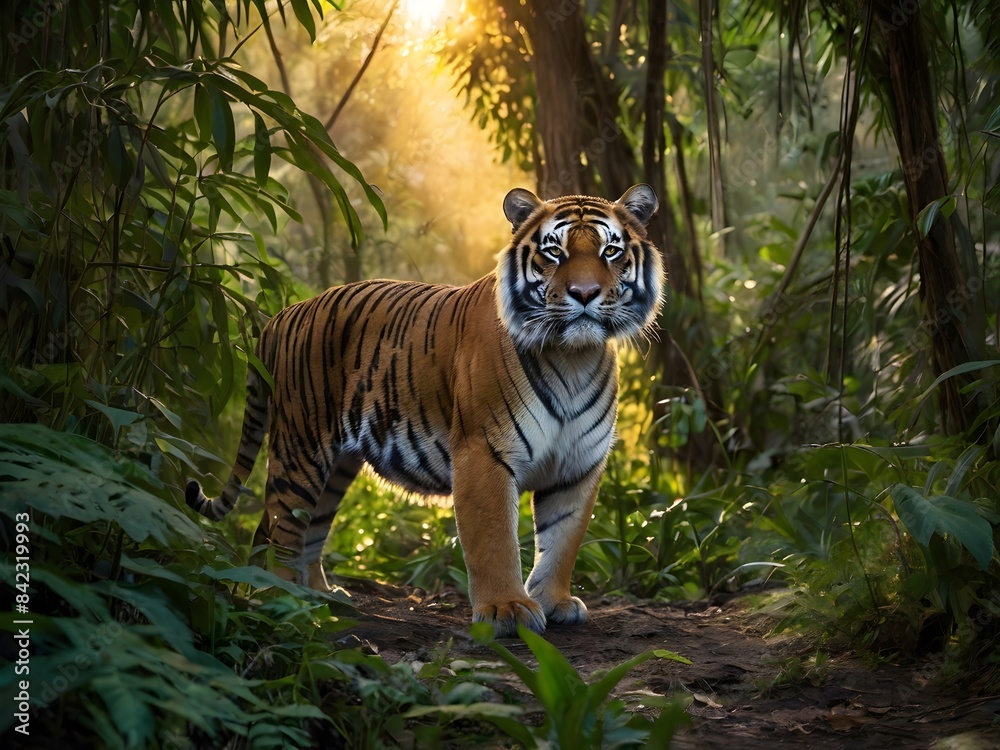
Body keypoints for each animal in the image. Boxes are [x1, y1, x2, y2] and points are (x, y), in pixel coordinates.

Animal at [186, 184, 664, 637]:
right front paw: (507, 610)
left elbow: (563, 541)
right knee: (280, 528)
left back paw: (319, 597)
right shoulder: (483, 454)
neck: (573, 357)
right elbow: (494, 540)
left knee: (306, 528)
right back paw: (281, 599)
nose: (584, 293)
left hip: (337, 465)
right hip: (300, 447)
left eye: (610, 251)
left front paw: (554, 602)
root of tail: (281, 315)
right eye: (554, 252)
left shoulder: (577, 466)